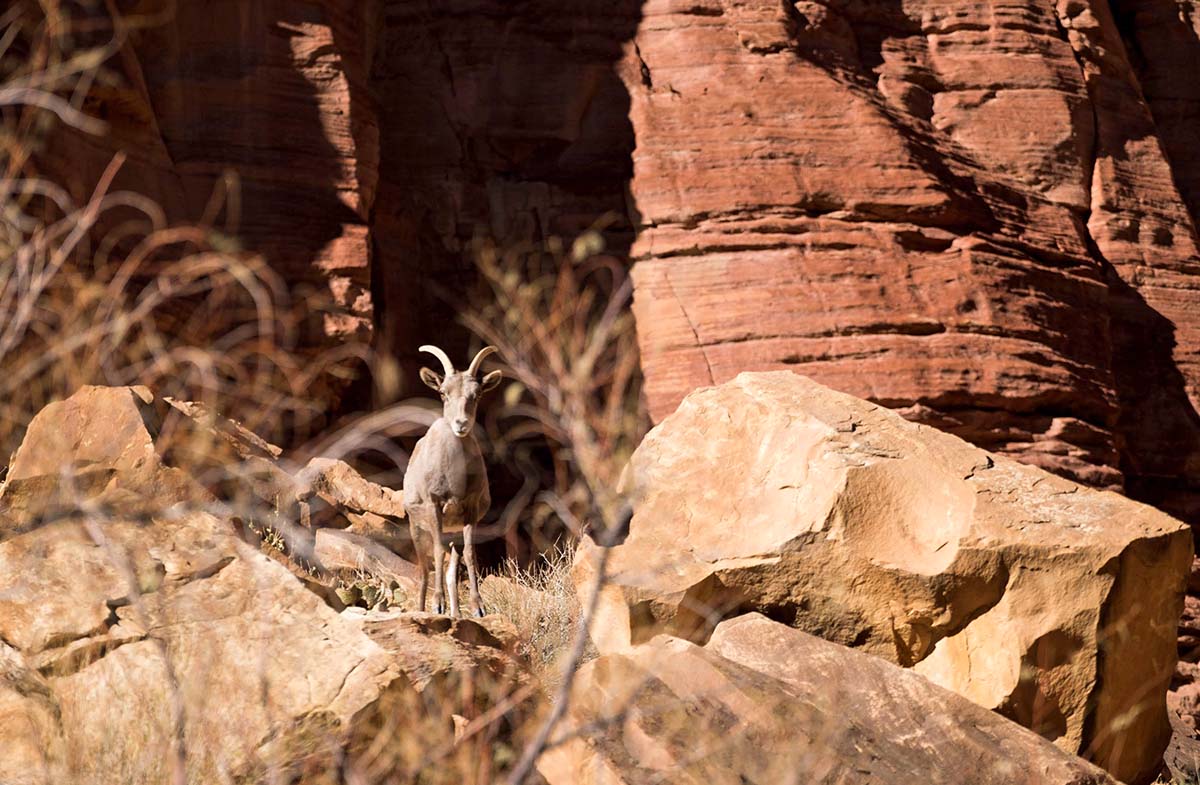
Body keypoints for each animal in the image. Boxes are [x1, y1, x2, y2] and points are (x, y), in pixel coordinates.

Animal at [400, 345, 499, 614]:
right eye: (443, 393)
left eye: (476, 395)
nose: (461, 424)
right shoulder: (434, 507)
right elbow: (438, 553)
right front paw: (437, 605)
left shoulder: (469, 512)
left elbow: (470, 555)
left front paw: (478, 607)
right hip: (417, 530)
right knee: (425, 569)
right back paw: (424, 609)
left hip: (451, 532)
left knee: (451, 569)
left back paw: (456, 612)